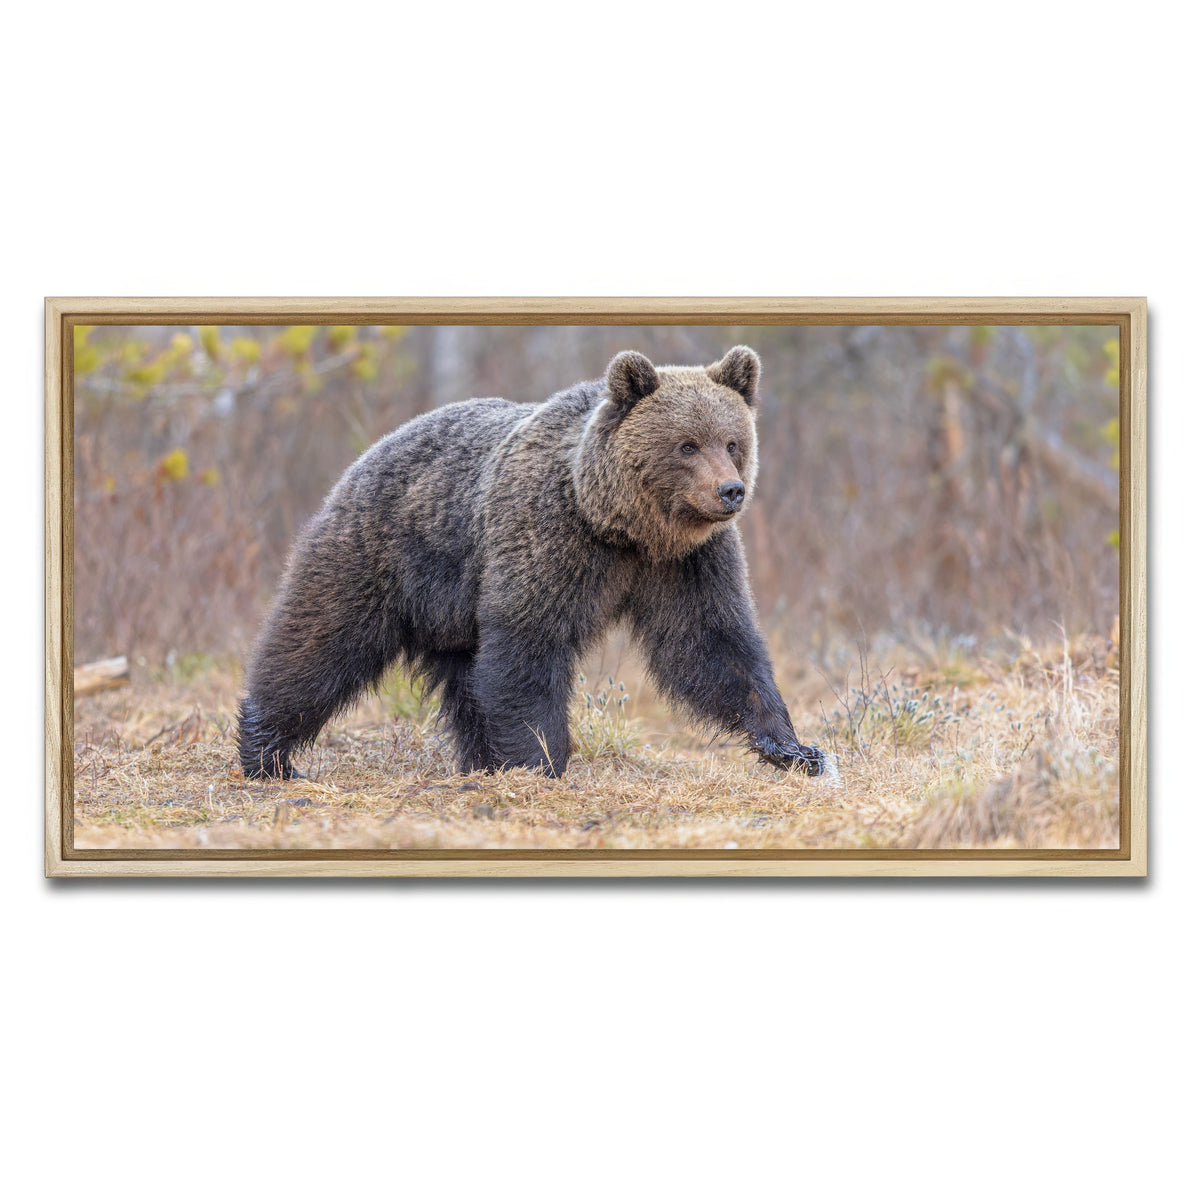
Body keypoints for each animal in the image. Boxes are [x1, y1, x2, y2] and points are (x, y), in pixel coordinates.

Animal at [237, 345, 825, 781]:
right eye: (687, 444)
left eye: (733, 441)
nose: (730, 491)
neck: (621, 526)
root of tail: (371, 451)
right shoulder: (549, 536)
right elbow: (529, 643)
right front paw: (542, 760)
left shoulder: (688, 562)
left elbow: (713, 643)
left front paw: (794, 748)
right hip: (381, 553)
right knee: (319, 643)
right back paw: (268, 753)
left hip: (453, 612)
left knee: (466, 681)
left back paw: (479, 762)